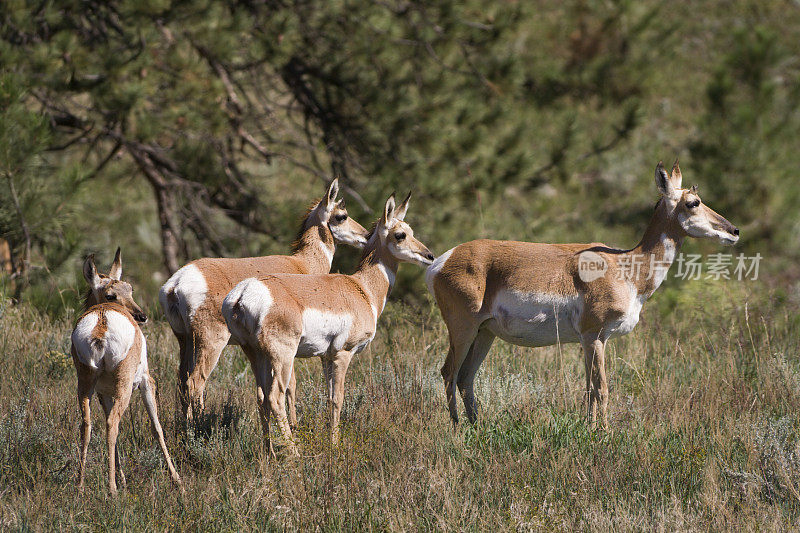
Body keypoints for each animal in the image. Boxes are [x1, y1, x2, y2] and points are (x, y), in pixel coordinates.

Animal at [71, 249, 181, 494]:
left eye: (129, 289)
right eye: (111, 295)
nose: (142, 316)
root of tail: (101, 323)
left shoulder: (103, 393)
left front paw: (121, 476)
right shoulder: (146, 382)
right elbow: (156, 427)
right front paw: (177, 480)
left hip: (85, 384)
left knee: (87, 425)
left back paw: (81, 484)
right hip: (125, 387)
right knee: (112, 424)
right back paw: (111, 489)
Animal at [159, 179, 366, 420]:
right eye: (342, 215)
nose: (366, 235)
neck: (302, 264)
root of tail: (177, 282)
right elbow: (291, 385)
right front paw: (294, 425)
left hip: (185, 341)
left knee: (181, 382)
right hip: (210, 343)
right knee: (195, 383)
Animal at [222, 192, 434, 454]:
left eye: (411, 230)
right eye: (400, 234)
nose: (429, 256)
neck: (362, 288)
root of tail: (244, 292)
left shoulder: (325, 357)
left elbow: (328, 395)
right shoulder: (343, 353)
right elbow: (337, 398)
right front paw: (335, 445)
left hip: (255, 354)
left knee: (261, 397)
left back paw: (268, 451)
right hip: (282, 356)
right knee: (275, 398)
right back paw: (294, 453)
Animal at [428, 161, 740, 428]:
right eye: (693, 202)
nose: (734, 230)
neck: (626, 266)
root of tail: (442, 260)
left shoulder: (595, 340)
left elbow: (590, 388)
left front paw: (591, 429)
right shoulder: (593, 336)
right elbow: (601, 388)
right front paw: (604, 434)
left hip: (485, 333)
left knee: (465, 378)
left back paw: (476, 427)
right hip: (464, 329)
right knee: (448, 373)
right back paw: (457, 429)